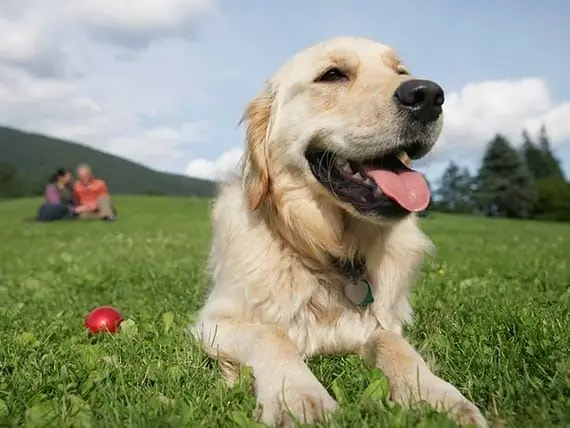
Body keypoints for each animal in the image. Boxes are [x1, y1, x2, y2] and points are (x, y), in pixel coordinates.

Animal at [193, 37, 486, 428]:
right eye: (333, 75)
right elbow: (272, 333)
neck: (329, 253)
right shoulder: (215, 320)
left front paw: (435, 395)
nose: (428, 95)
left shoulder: (380, 324)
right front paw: (296, 396)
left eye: (400, 71)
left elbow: (394, 344)